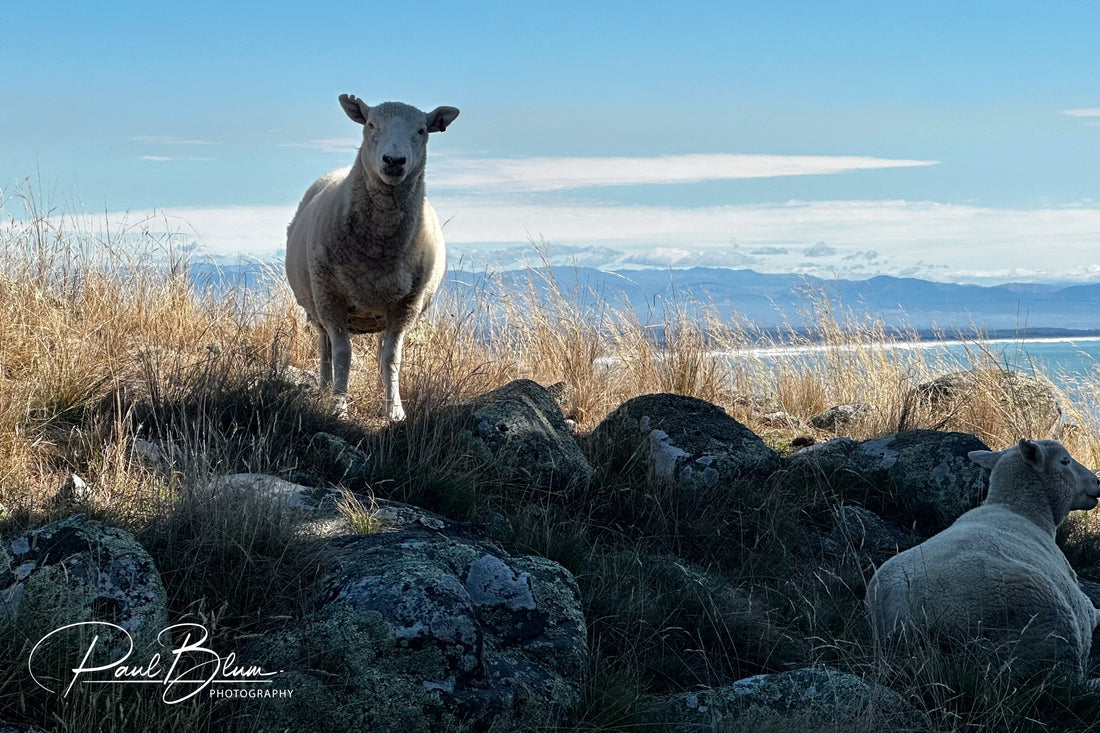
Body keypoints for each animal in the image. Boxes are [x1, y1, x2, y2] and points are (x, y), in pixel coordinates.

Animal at [286, 94, 457, 420]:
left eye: (421, 131)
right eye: (371, 125)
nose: (394, 161)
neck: (379, 246)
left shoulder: (406, 306)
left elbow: (392, 357)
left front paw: (395, 410)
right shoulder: (330, 299)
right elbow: (343, 355)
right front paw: (338, 406)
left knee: (381, 350)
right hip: (315, 304)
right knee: (325, 348)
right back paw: (325, 389)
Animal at [866, 435, 1100, 677]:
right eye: (1065, 461)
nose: (1097, 482)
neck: (1020, 509)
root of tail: (907, 617)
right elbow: (1089, 609)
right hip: (1045, 631)